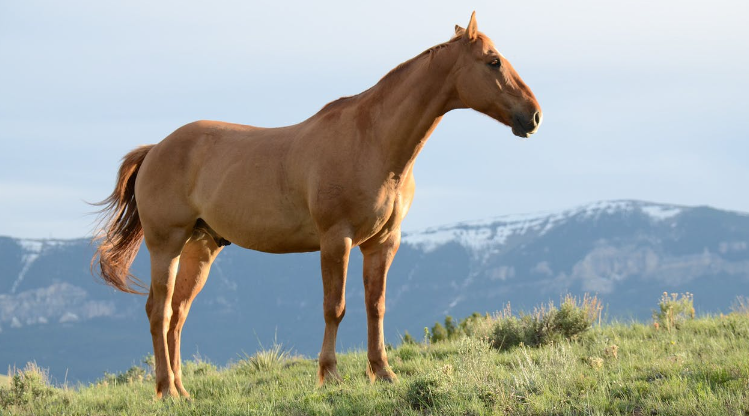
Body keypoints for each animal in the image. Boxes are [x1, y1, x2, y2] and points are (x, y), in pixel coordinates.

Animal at [92, 11, 536, 398]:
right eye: (493, 61)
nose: (533, 116)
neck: (372, 140)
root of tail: (155, 149)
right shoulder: (336, 240)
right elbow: (334, 308)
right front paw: (330, 375)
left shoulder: (383, 243)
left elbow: (376, 306)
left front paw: (383, 372)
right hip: (166, 244)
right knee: (159, 311)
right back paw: (166, 390)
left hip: (200, 248)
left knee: (178, 314)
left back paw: (183, 391)